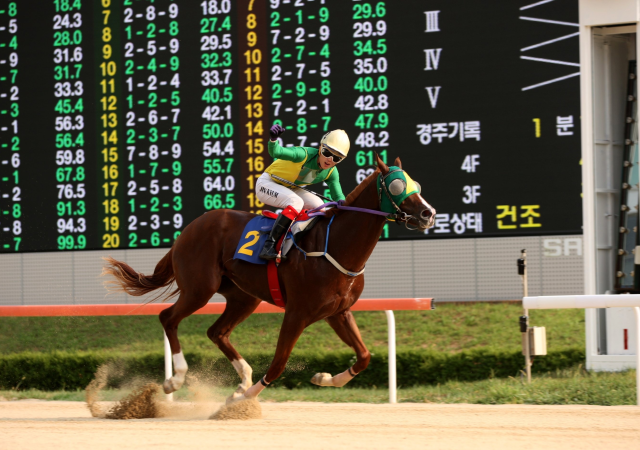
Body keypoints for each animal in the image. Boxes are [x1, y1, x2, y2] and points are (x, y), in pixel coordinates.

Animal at [104, 156, 436, 400]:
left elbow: (364, 356)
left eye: (417, 184)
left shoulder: (338, 312)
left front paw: (323, 377)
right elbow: (278, 364)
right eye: (397, 185)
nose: (428, 214)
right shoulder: (297, 313)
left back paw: (243, 377)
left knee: (216, 332)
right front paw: (242, 399)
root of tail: (189, 228)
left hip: (243, 297)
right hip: (200, 288)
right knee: (168, 318)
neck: (334, 247)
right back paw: (177, 379)